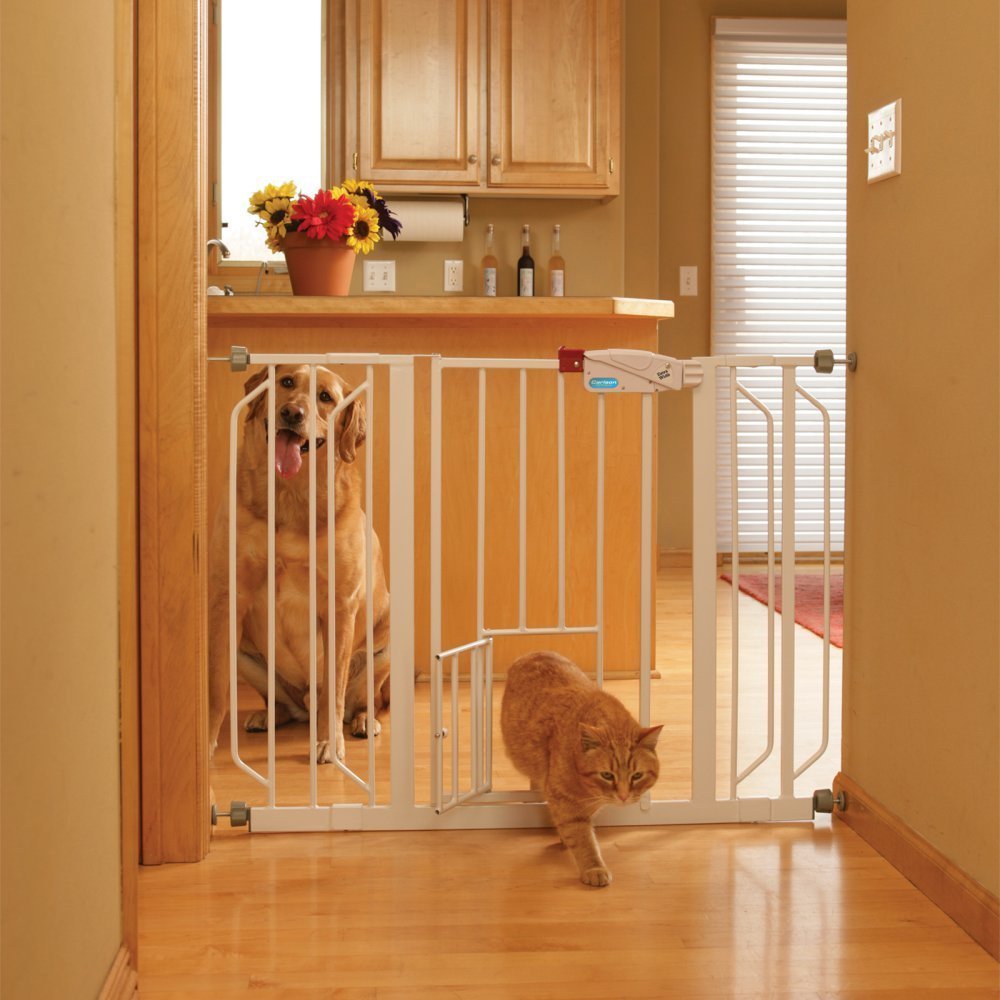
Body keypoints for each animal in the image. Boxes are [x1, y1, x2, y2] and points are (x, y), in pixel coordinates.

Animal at [207, 364, 390, 760]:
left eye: (325, 397)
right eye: (287, 382)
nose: (291, 413)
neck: (290, 496)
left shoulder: (340, 606)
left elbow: (334, 690)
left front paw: (328, 743)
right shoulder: (228, 599)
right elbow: (216, 686)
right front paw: (206, 744)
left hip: (384, 647)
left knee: (357, 699)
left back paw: (363, 721)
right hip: (245, 653)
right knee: (282, 703)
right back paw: (267, 716)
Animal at [500, 652, 664, 888]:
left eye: (637, 776)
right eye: (607, 775)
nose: (623, 796)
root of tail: (535, 653)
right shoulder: (565, 802)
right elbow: (582, 838)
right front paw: (594, 867)